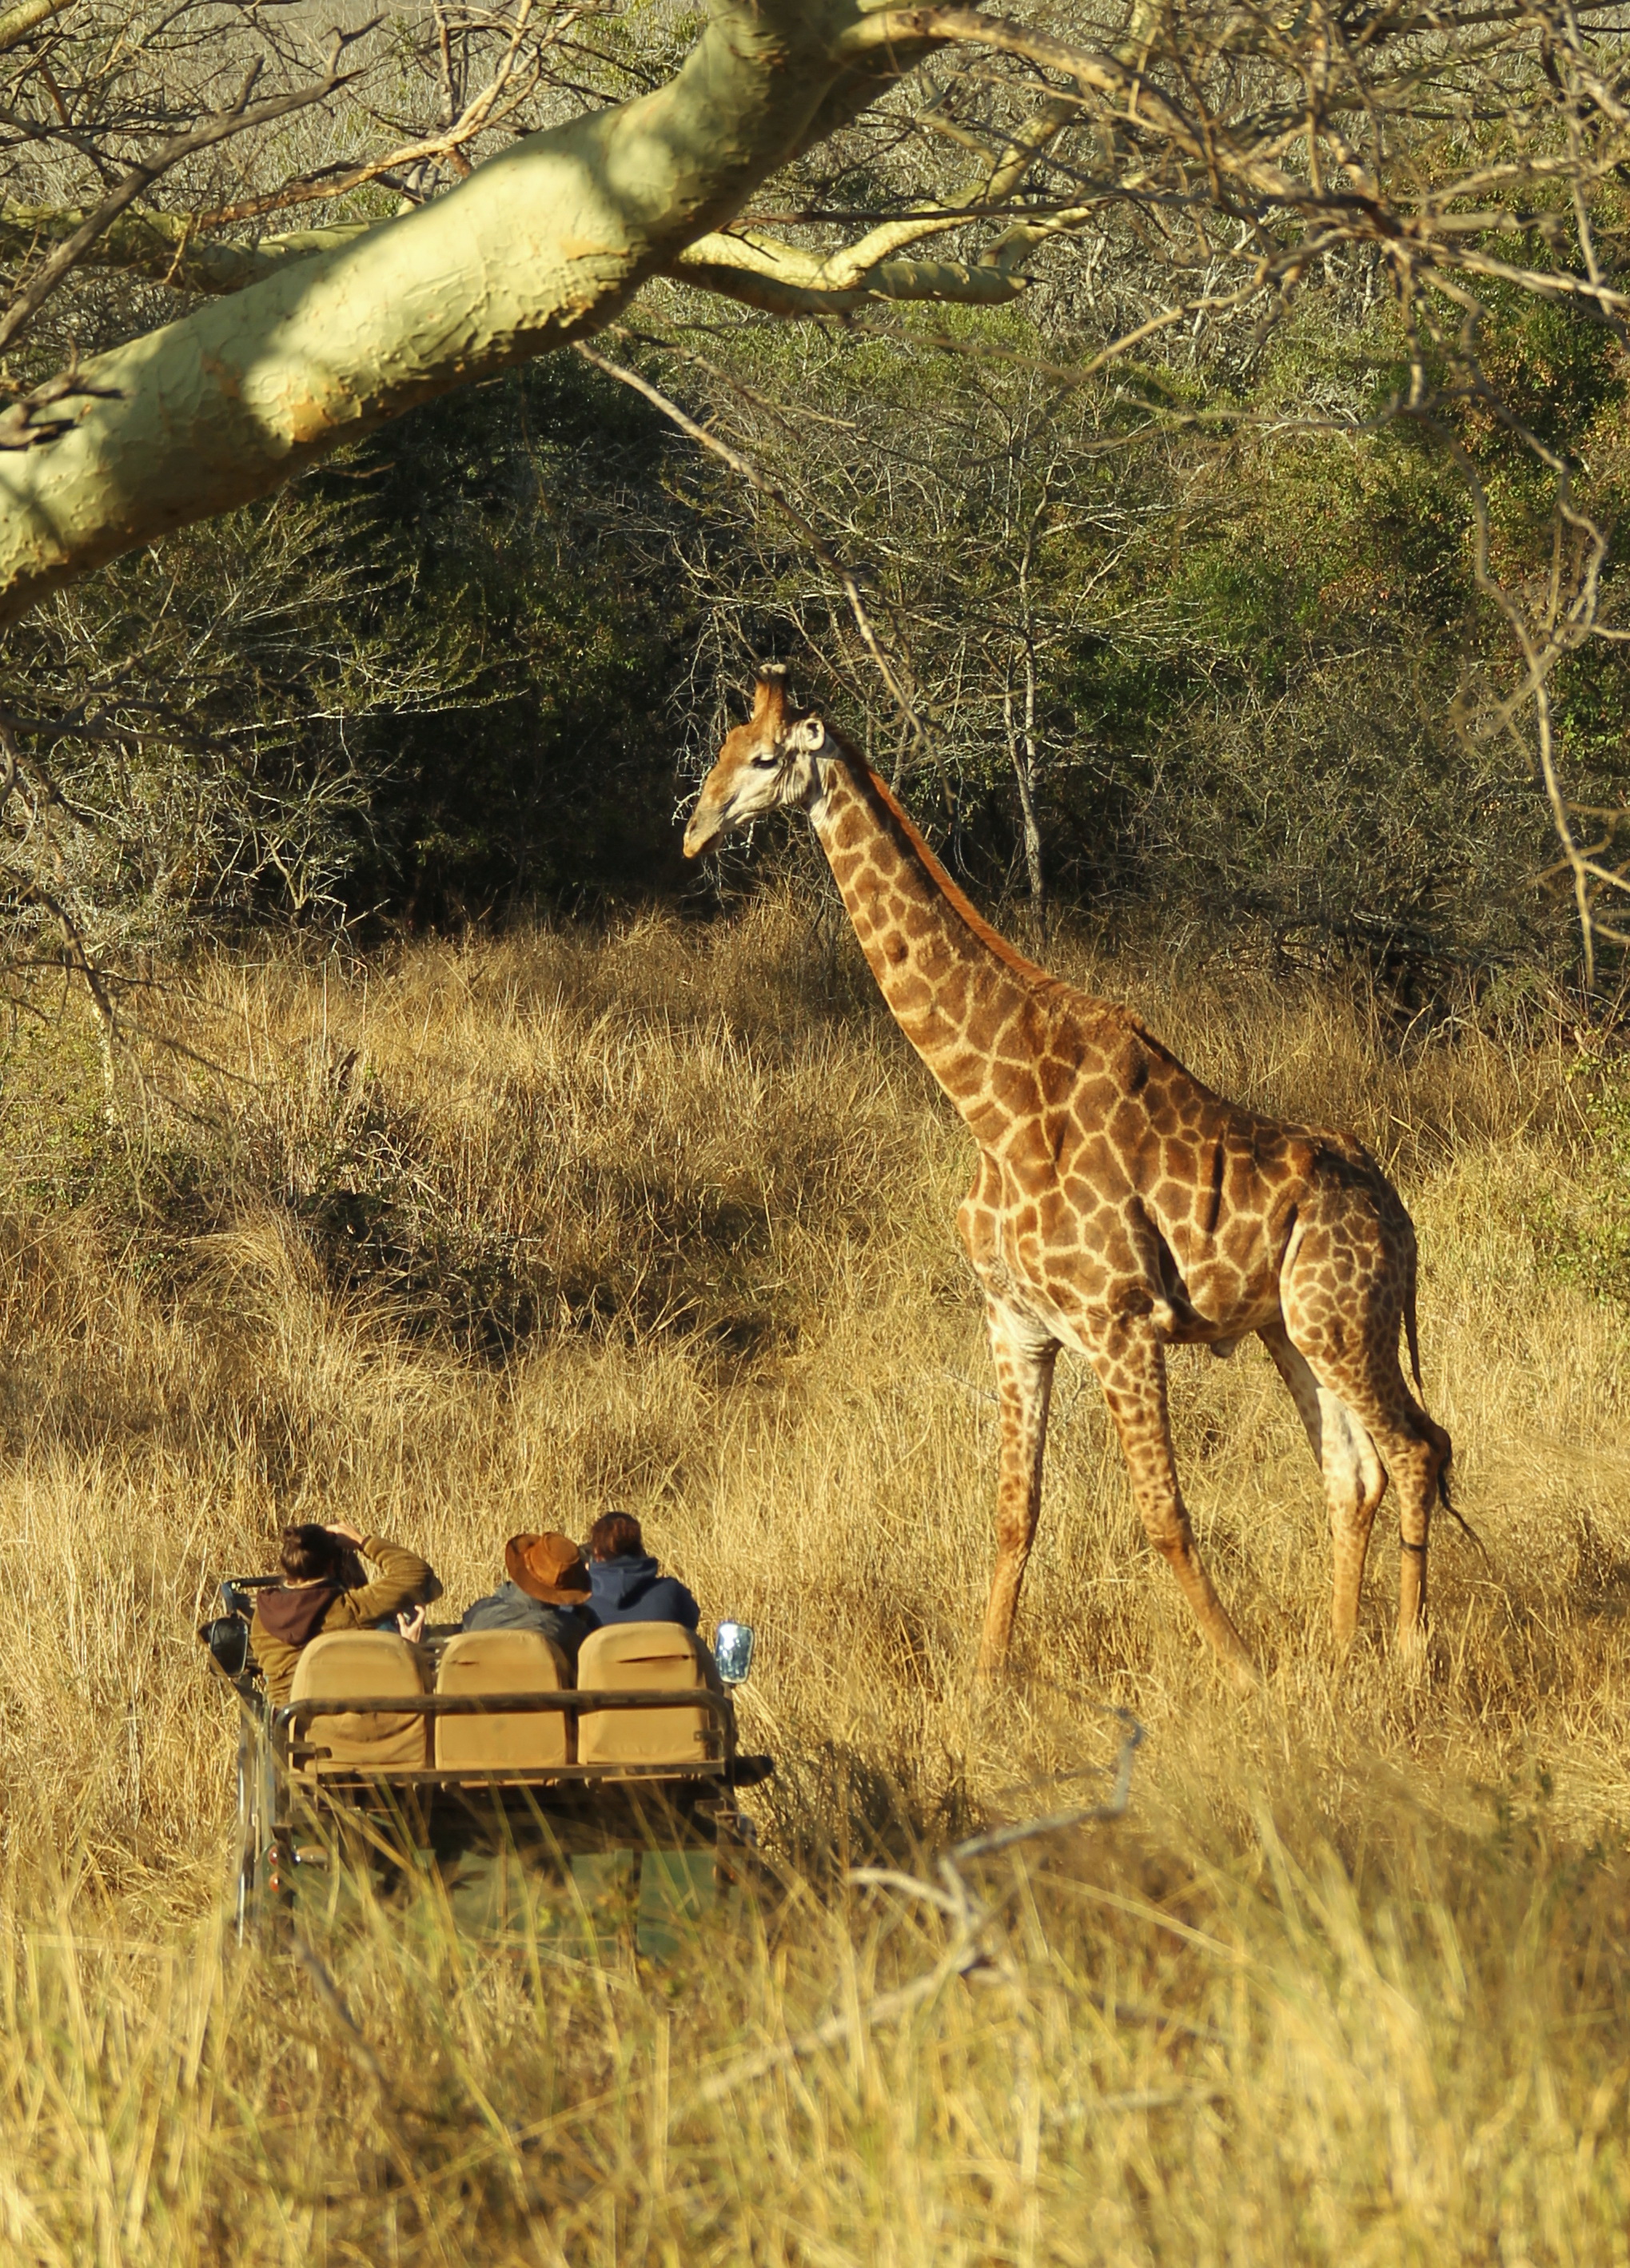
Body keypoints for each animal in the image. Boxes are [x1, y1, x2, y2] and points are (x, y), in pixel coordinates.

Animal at [683, 671, 1454, 1685]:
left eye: (766, 757)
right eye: (723, 747)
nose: (693, 829)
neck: (990, 1102)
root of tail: (1395, 1209)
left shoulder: (1118, 1322)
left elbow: (1164, 1520)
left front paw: (1244, 1673)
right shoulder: (1016, 1322)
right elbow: (1014, 1513)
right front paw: (980, 1688)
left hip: (1343, 1319)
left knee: (1416, 1447)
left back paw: (1405, 1655)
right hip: (1295, 1326)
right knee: (1350, 1470)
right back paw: (1334, 1654)